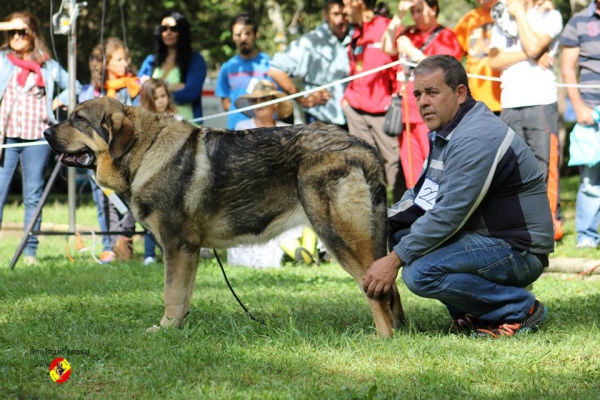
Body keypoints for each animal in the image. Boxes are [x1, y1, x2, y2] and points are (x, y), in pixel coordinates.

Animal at [44, 98, 406, 336]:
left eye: (78, 119)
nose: (46, 132)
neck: (144, 151)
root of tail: (361, 147)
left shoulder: (177, 246)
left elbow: (170, 294)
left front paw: (164, 330)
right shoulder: (188, 251)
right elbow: (182, 295)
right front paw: (176, 329)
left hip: (337, 234)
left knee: (373, 289)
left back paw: (382, 337)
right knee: (389, 287)